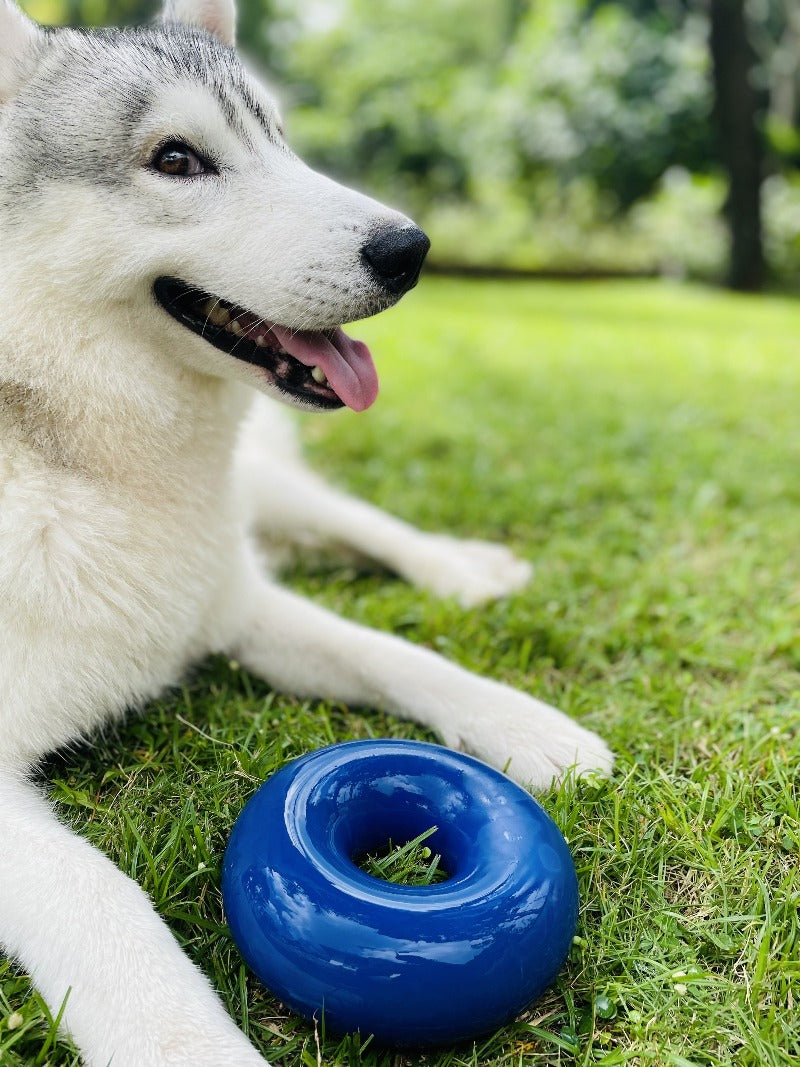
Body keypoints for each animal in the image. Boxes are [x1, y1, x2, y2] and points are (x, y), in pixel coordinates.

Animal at [0, 0, 614, 1058]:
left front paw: (525, 723)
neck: (79, 461)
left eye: (280, 138)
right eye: (175, 158)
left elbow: (390, 654)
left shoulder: (233, 604)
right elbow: (98, 896)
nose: (411, 249)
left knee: (357, 523)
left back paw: (460, 569)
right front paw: (186, 1041)